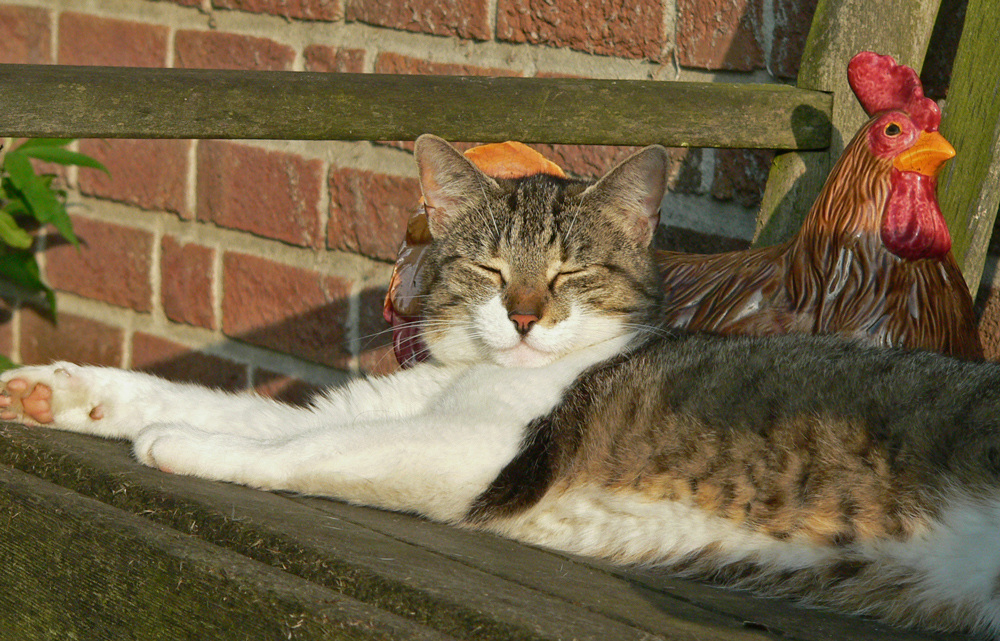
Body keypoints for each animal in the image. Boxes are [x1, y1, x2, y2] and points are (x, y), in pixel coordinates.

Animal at [5, 134, 1000, 636]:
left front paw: (182, 446)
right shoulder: (391, 402)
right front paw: (54, 390)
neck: (481, 372)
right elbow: (242, 406)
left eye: (569, 273)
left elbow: (305, 442)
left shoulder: (478, 453)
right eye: (489, 269)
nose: (523, 316)